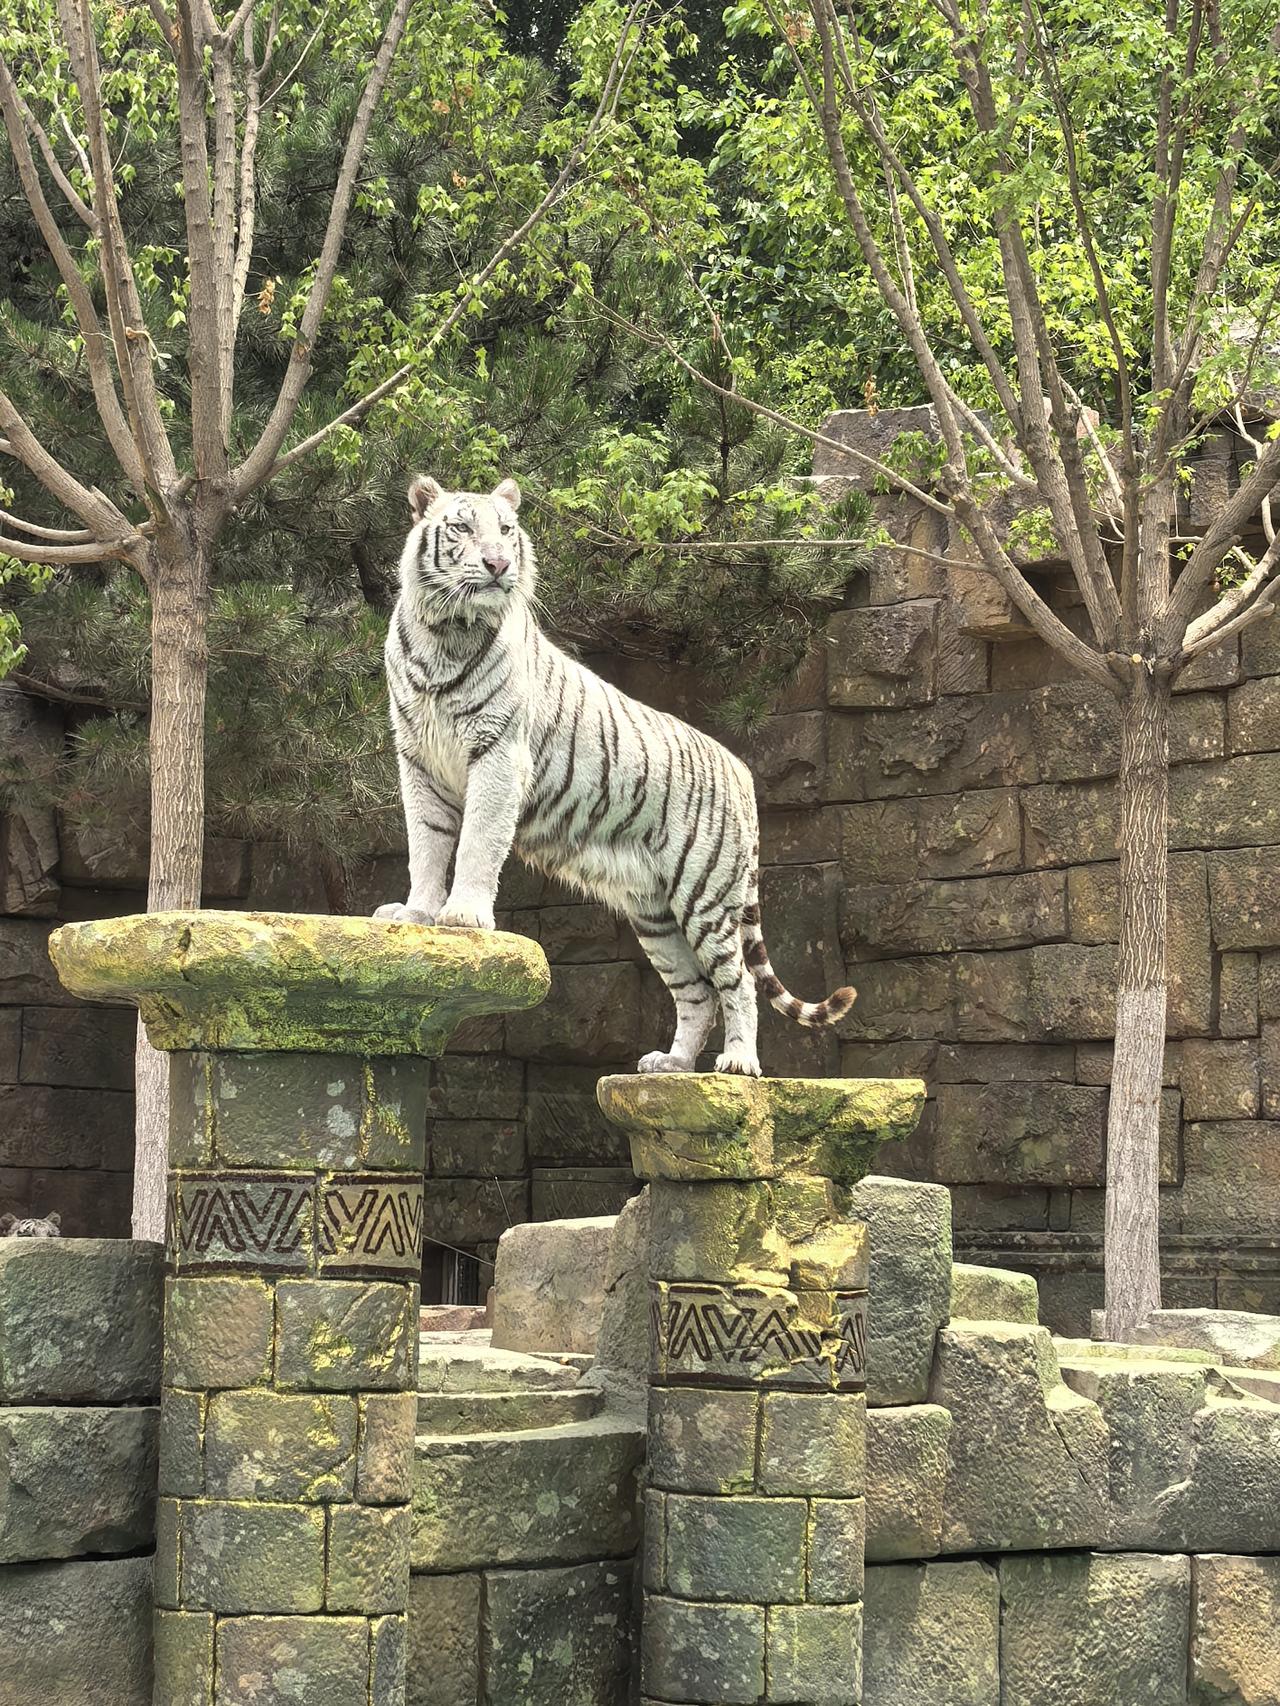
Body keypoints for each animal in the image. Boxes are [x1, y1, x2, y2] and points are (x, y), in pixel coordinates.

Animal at [374, 474, 856, 1076]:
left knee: (738, 981)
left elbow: (478, 842)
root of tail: (742, 770)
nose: (498, 563)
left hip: (706, 893)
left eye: (506, 530)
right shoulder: (419, 760)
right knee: (696, 992)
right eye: (462, 527)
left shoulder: (498, 753)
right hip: (654, 912)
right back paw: (671, 1064)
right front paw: (415, 913)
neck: (444, 630)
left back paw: (739, 1063)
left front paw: (462, 915)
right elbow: (427, 843)